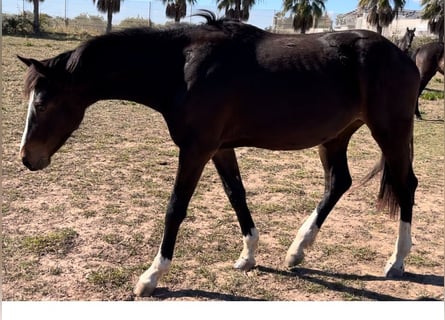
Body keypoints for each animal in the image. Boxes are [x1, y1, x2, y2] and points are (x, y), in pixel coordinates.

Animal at [18, 12, 420, 298]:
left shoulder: (196, 150)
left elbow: (175, 208)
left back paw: (396, 261)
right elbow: (236, 195)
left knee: (406, 185)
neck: (182, 68)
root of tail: (403, 55)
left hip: (390, 133)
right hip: (335, 137)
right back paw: (297, 251)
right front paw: (248, 255)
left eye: (42, 102)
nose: (26, 157)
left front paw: (152, 276)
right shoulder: (221, 149)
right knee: (338, 182)